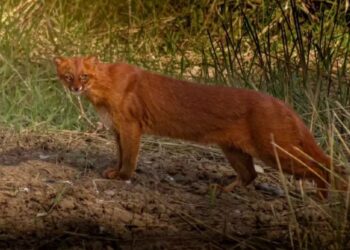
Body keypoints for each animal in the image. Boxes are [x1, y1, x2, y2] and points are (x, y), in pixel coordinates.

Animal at [54, 56, 344, 195]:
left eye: (84, 76)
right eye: (68, 76)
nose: (75, 88)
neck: (102, 93)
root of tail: (282, 104)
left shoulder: (130, 124)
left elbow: (130, 156)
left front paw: (122, 176)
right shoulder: (116, 127)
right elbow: (119, 153)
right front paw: (112, 171)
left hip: (273, 149)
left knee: (322, 165)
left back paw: (321, 199)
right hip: (233, 149)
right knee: (251, 174)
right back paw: (220, 190)